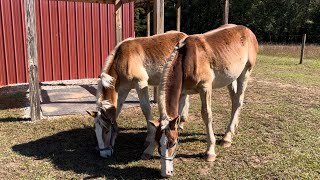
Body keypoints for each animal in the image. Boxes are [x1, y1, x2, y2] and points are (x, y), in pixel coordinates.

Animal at [86, 31, 189, 159]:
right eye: (96, 130)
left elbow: (146, 108)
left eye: (107, 130)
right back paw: (181, 122)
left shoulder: (141, 83)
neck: (122, 59)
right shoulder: (124, 88)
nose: (104, 154)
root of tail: (185, 35)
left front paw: (149, 138)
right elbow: (117, 109)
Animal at [151, 24, 260, 177]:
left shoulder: (205, 87)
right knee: (234, 100)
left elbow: (206, 115)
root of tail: (248, 31)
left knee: (238, 100)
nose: (166, 172)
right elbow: (180, 114)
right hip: (230, 77)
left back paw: (227, 138)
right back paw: (233, 128)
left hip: (245, 73)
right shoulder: (183, 92)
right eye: (158, 143)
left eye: (173, 143)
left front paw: (210, 152)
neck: (186, 59)